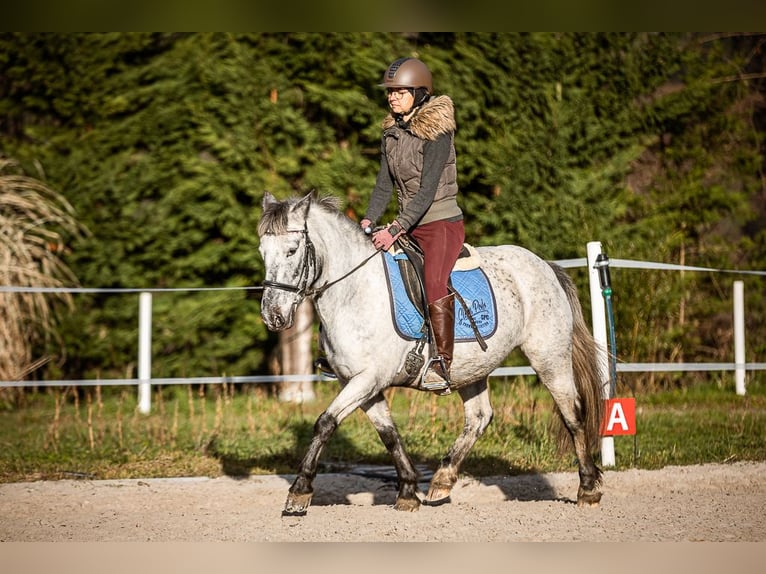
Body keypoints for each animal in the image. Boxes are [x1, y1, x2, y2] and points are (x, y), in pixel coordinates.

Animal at [260, 194, 608, 516]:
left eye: (292, 250)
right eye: (263, 252)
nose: (273, 316)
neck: (354, 291)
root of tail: (546, 266)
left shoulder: (368, 379)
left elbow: (325, 423)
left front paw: (299, 492)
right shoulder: (359, 382)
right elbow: (388, 434)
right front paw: (408, 491)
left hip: (549, 357)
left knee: (573, 414)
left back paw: (588, 489)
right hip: (471, 368)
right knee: (479, 417)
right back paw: (442, 479)